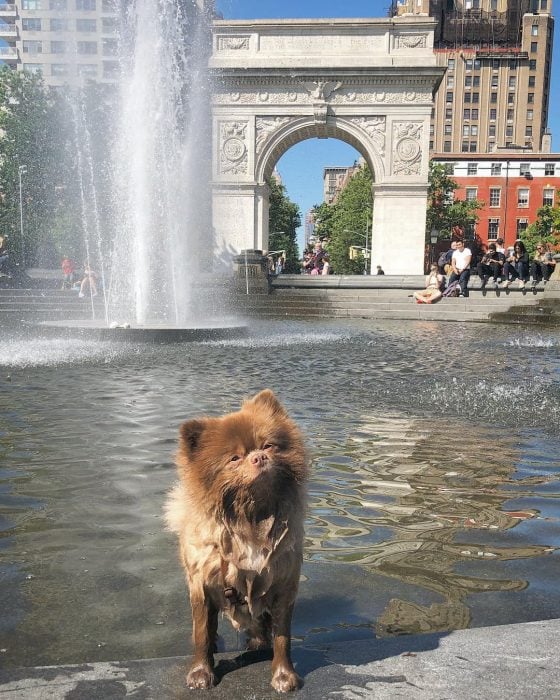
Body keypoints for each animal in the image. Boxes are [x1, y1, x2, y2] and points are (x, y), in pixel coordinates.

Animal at [164, 392, 308, 692]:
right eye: (234, 458)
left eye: (268, 445)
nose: (259, 457)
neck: (251, 519)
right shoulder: (202, 585)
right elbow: (202, 635)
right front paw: (201, 673)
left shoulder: (284, 582)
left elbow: (282, 638)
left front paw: (283, 676)